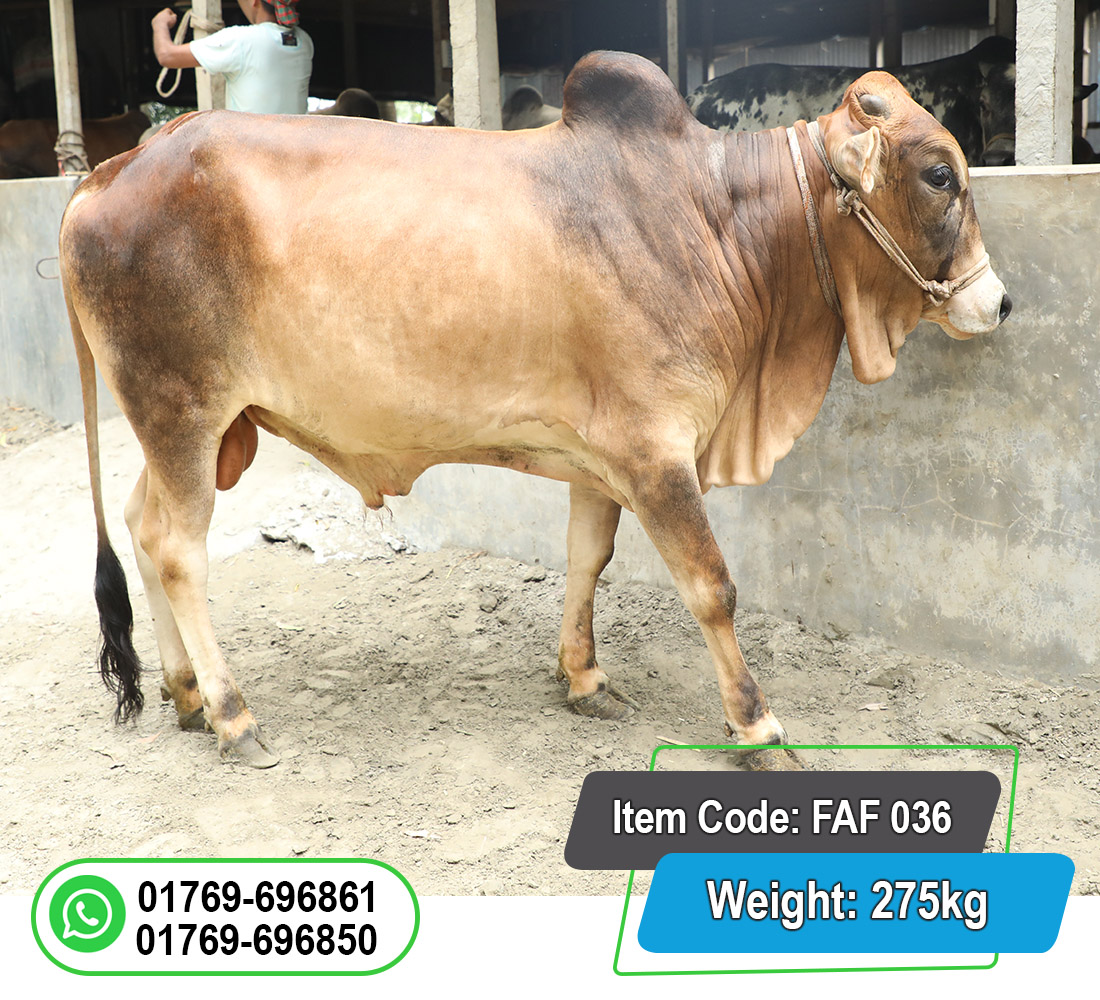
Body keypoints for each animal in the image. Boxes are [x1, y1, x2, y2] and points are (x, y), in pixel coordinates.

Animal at [60, 51, 1009, 770]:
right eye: (938, 174)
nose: (998, 303)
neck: (717, 222)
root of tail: (106, 175)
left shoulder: (605, 454)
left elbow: (588, 559)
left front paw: (583, 680)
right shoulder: (658, 452)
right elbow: (713, 589)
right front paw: (758, 728)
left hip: (193, 427)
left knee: (143, 527)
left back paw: (185, 695)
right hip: (183, 409)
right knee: (178, 551)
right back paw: (232, 714)